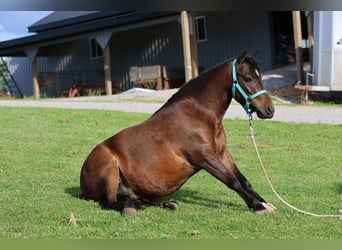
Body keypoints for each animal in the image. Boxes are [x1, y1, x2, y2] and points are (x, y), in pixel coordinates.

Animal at [80, 52, 276, 217]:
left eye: (259, 76)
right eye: (248, 78)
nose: (269, 109)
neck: (198, 115)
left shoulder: (222, 154)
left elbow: (244, 181)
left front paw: (265, 203)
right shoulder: (204, 157)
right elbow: (232, 181)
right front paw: (257, 206)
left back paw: (166, 204)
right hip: (110, 169)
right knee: (110, 202)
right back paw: (133, 206)